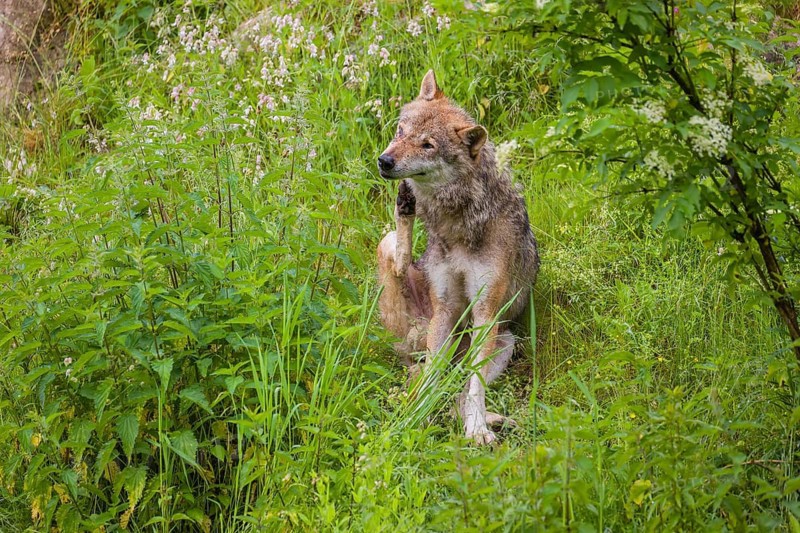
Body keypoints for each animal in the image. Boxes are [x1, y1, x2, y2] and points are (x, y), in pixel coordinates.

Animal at [376, 70, 540, 445]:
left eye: (428, 145)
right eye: (401, 131)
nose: (385, 160)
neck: (457, 219)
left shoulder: (485, 313)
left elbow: (474, 388)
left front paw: (477, 430)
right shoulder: (446, 309)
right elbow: (432, 383)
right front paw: (417, 420)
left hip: (504, 341)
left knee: (460, 392)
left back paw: (494, 420)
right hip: (398, 269)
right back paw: (405, 208)